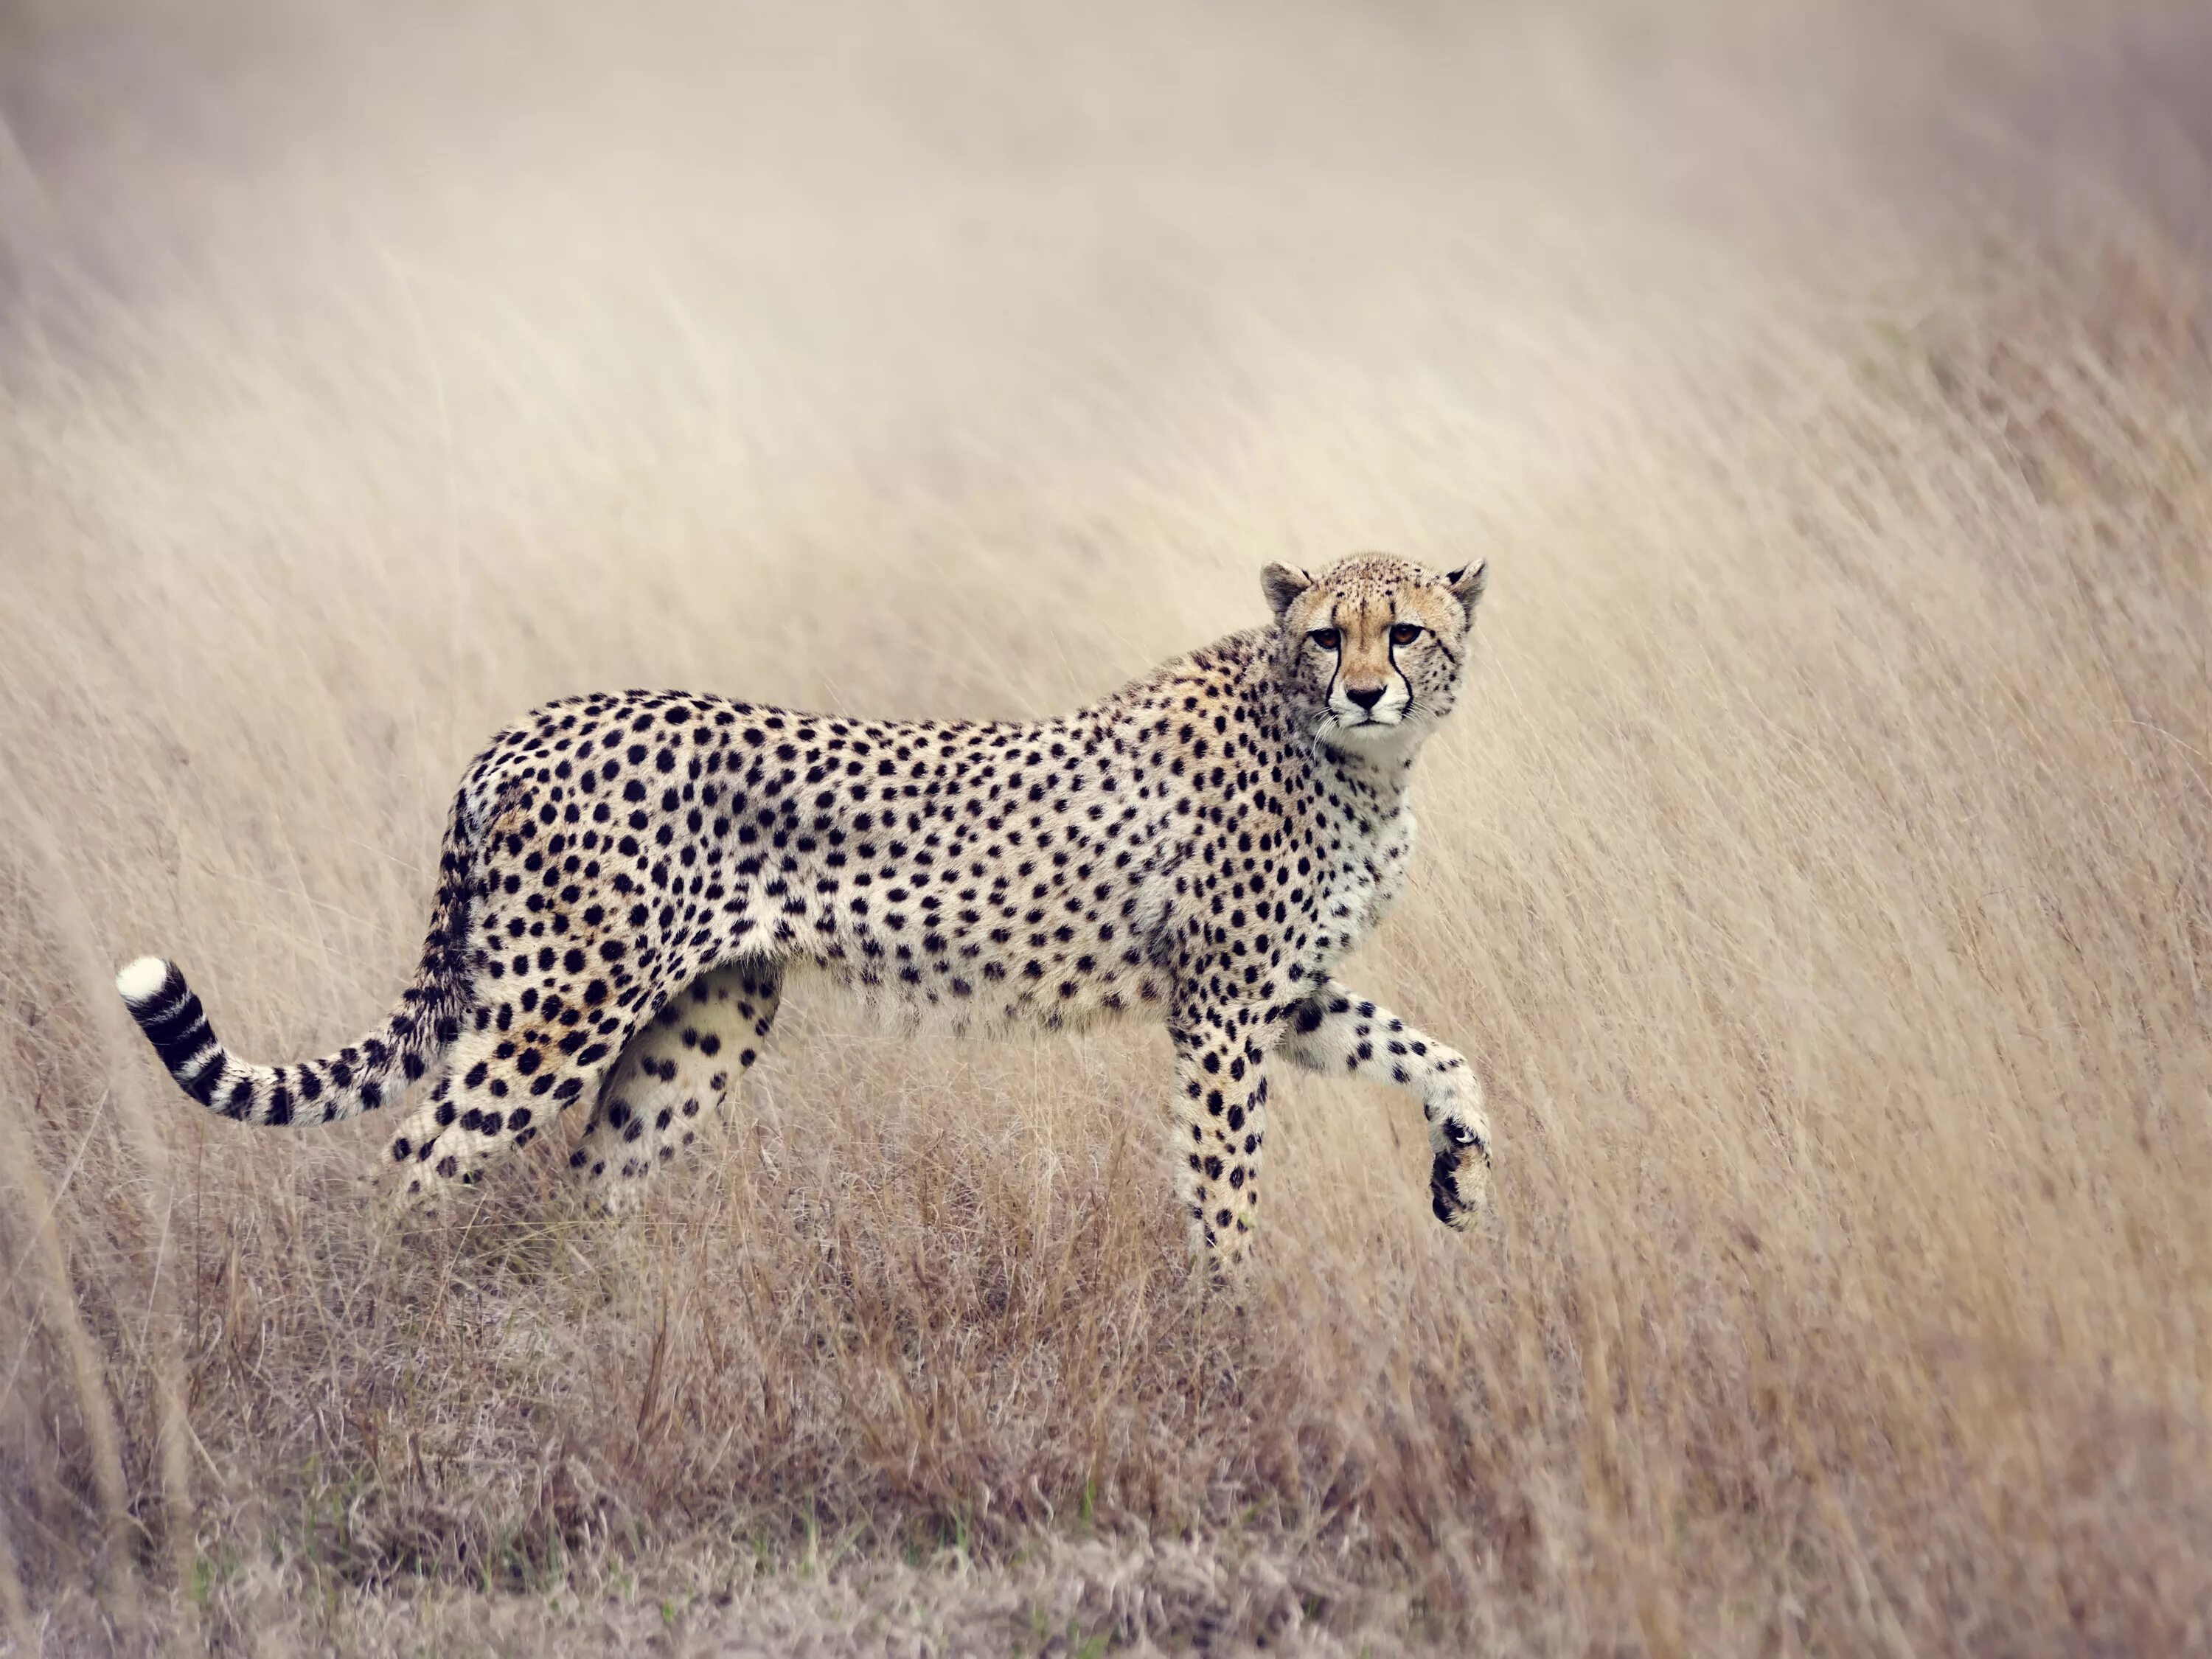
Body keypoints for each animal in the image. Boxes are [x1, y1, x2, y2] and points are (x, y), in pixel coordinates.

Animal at [112, 553, 1495, 1265]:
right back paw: (405, 1338)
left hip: (705, 1019)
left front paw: (1461, 1171)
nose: (1366, 689)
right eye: (1327, 635)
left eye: (1406, 631)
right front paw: (1224, 1329)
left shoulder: (1284, 998)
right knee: (419, 1155)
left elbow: (1440, 1056)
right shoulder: (1220, 1011)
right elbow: (1226, 1181)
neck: (1360, 764)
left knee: (592, 1178)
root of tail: (531, 724)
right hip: (559, 1008)